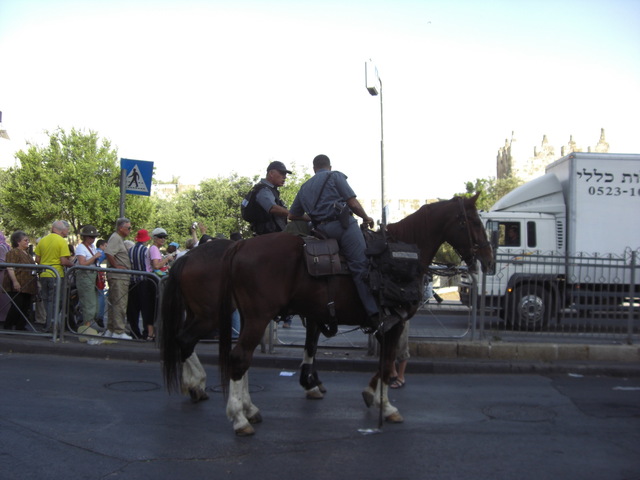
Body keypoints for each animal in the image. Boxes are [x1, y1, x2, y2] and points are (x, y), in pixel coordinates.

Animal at [216, 193, 496, 436]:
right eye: (473, 221)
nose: (489, 260)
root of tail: (241, 245)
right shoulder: (394, 322)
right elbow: (387, 364)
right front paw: (386, 406)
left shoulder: (385, 326)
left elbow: (384, 363)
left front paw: (371, 395)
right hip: (258, 317)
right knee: (240, 358)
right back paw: (239, 418)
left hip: (251, 318)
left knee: (244, 359)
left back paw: (249, 408)